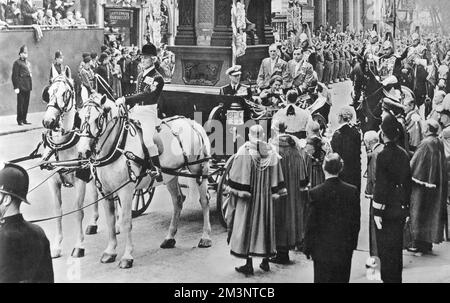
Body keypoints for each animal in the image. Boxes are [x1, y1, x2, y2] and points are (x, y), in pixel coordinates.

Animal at [41, 75, 100, 260]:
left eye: (66, 93)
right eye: (48, 93)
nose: (48, 121)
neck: (62, 145)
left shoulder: (80, 180)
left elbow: (78, 211)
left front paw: (79, 246)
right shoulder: (53, 183)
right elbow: (58, 212)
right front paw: (57, 246)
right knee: (96, 194)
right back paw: (94, 223)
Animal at [76, 94, 212, 268]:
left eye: (97, 118)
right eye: (80, 117)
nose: (83, 151)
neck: (118, 145)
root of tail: (193, 123)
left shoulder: (126, 191)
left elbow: (126, 221)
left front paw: (127, 256)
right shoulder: (106, 192)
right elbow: (110, 220)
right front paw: (110, 252)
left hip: (200, 171)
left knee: (204, 200)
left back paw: (205, 237)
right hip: (170, 176)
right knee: (178, 201)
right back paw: (170, 238)